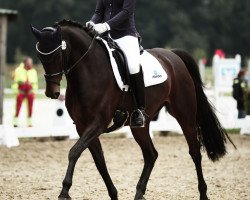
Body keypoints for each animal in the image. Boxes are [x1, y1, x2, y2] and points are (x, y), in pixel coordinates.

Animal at [30, 19, 234, 200]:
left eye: (56, 55)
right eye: (40, 56)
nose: (52, 93)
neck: (89, 72)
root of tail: (173, 55)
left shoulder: (98, 123)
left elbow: (74, 152)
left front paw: (64, 191)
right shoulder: (83, 126)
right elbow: (99, 160)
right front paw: (113, 194)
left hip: (185, 115)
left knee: (194, 152)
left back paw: (203, 193)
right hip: (141, 125)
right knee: (151, 154)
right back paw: (139, 193)